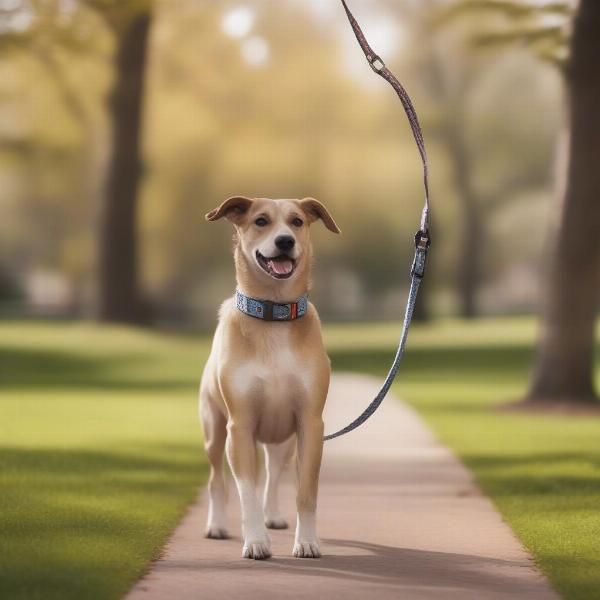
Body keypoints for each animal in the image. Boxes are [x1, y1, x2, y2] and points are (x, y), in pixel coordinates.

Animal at [200, 196, 340, 556]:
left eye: (297, 221)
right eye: (261, 221)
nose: (285, 241)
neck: (273, 316)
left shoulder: (310, 424)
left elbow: (305, 492)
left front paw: (307, 541)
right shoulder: (240, 426)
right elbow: (245, 490)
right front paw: (255, 541)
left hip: (284, 441)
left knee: (274, 474)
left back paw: (273, 515)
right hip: (214, 430)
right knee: (216, 479)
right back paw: (217, 525)